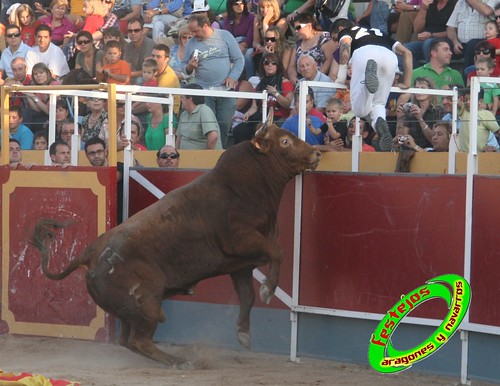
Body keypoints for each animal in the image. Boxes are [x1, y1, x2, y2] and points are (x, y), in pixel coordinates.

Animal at [31, 122, 320, 366]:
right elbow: (278, 253)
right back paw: (177, 361)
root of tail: (89, 253)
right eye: (285, 141)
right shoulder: (242, 241)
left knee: (128, 340)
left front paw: (243, 334)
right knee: (139, 340)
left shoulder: (240, 265)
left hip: (130, 310)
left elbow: (247, 296)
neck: (246, 185)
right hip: (146, 303)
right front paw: (269, 290)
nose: (316, 153)